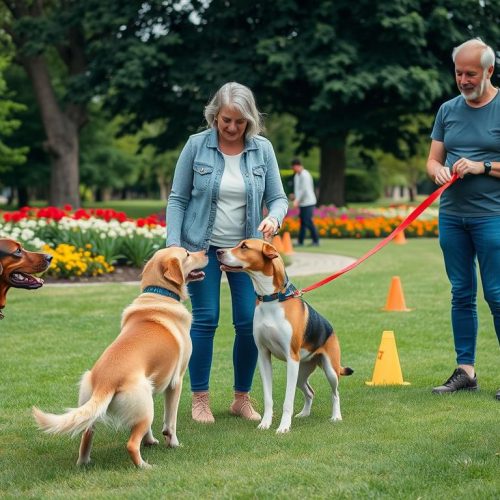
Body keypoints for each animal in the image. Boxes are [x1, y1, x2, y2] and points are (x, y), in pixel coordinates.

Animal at [32, 247, 207, 468]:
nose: (206, 251)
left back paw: (84, 462)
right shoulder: (176, 382)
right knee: (131, 444)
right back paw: (144, 466)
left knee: (87, 433)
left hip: (111, 405)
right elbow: (170, 422)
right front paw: (173, 443)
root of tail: (106, 381)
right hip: (146, 407)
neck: (159, 295)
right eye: (187, 254)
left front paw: (150, 440)